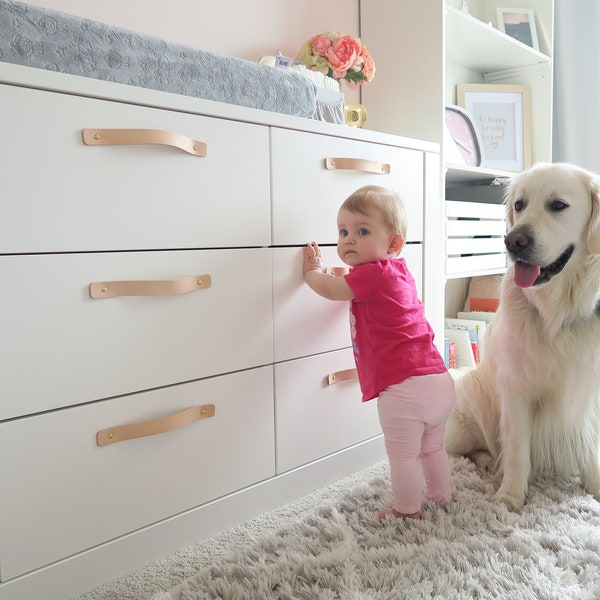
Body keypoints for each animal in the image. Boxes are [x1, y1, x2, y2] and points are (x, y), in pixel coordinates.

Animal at [442, 163, 600, 510]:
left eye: (558, 205)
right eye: (519, 205)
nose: (512, 241)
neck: (558, 313)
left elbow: (592, 446)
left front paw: (595, 485)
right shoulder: (516, 389)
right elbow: (516, 449)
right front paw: (511, 496)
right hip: (469, 394)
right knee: (464, 450)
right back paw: (489, 462)